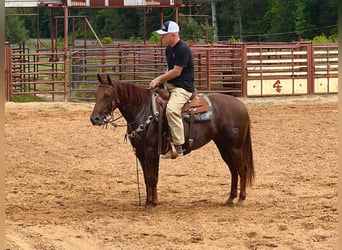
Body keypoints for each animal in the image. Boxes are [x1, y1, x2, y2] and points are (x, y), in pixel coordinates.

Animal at [89, 73, 255, 208]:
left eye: (107, 96)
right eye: (96, 94)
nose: (94, 119)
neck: (144, 111)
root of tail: (241, 105)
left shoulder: (151, 151)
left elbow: (152, 177)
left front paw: (151, 204)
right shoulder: (141, 153)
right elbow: (147, 178)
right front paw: (150, 201)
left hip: (235, 146)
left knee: (242, 168)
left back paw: (241, 199)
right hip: (223, 146)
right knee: (233, 169)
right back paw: (230, 199)